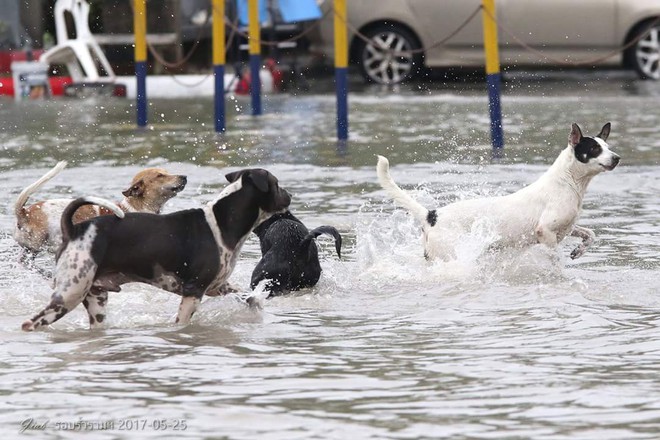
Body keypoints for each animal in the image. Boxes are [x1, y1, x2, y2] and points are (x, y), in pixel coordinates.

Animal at [21, 168, 290, 330]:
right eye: (277, 184)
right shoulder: (193, 291)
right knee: (31, 323)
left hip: (96, 298)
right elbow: (181, 322)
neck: (222, 221)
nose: (289, 195)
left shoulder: (217, 286)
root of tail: (74, 229)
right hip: (69, 295)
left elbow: (249, 297)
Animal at [376, 122, 620, 262]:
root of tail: (431, 215)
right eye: (594, 149)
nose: (617, 158)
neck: (567, 181)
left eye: (607, 147)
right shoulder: (545, 231)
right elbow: (554, 257)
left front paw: (579, 250)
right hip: (449, 252)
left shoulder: (568, 227)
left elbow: (590, 234)